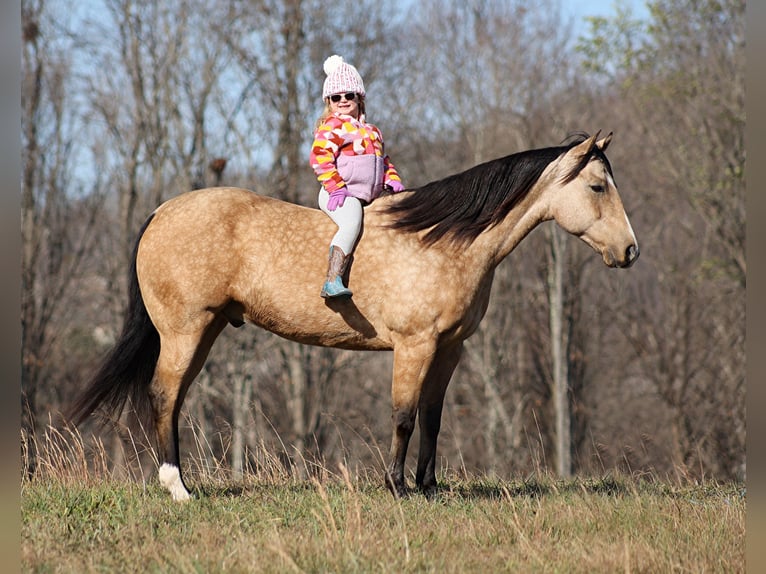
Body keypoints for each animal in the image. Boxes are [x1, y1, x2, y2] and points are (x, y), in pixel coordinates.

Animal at [72, 133, 640, 502]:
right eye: (597, 187)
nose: (630, 251)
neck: (441, 241)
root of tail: (160, 212)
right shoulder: (414, 345)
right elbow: (404, 415)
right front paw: (397, 487)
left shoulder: (449, 348)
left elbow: (432, 417)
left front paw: (429, 487)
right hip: (185, 331)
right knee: (164, 395)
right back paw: (178, 489)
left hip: (205, 330)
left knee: (173, 398)